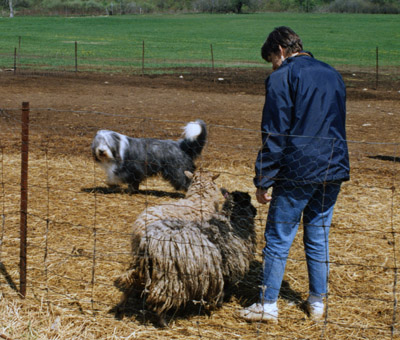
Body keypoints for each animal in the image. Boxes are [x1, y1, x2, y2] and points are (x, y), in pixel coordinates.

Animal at [115, 186, 256, 326]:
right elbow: (223, 288)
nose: (255, 211)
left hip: (141, 266)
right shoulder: (225, 268)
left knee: (131, 284)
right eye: (247, 201)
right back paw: (163, 322)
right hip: (170, 277)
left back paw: (121, 308)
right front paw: (219, 304)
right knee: (162, 298)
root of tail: (147, 240)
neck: (231, 224)